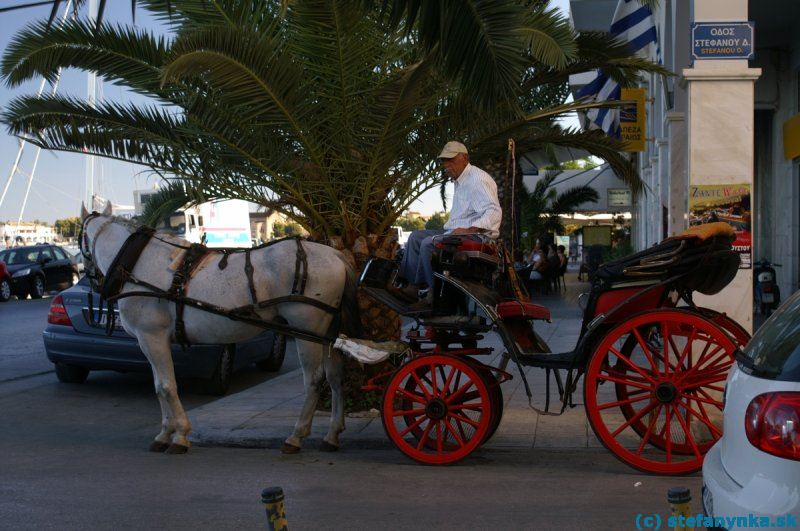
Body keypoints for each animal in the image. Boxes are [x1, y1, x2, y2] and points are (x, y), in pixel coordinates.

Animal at [79, 202, 360, 456]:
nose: (91, 281)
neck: (137, 264)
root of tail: (336, 254)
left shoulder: (151, 337)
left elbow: (166, 386)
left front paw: (179, 435)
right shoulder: (155, 340)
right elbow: (160, 385)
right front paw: (166, 433)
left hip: (308, 330)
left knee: (314, 380)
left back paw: (296, 436)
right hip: (329, 332)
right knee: (335, 377)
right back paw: (332, 434)